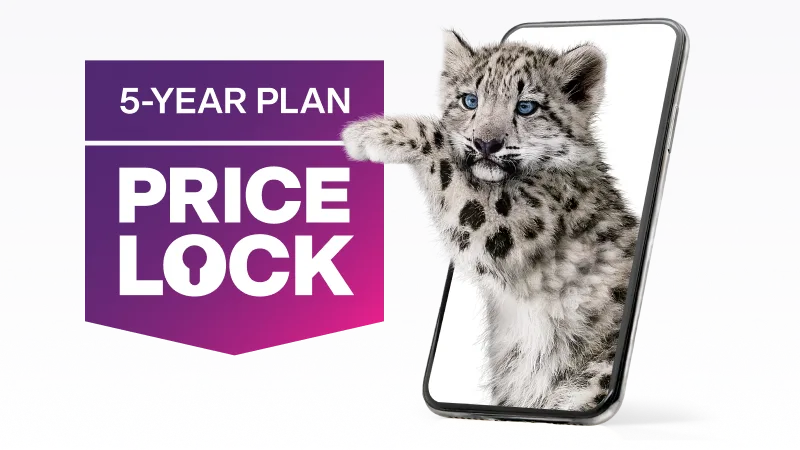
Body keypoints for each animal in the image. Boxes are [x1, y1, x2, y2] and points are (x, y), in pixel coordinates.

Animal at [341, 30, 640, 412]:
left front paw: (371, 133)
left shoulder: (514, 224)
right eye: (470, 100)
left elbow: (446, 153)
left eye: (526, 106)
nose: (485, 143)